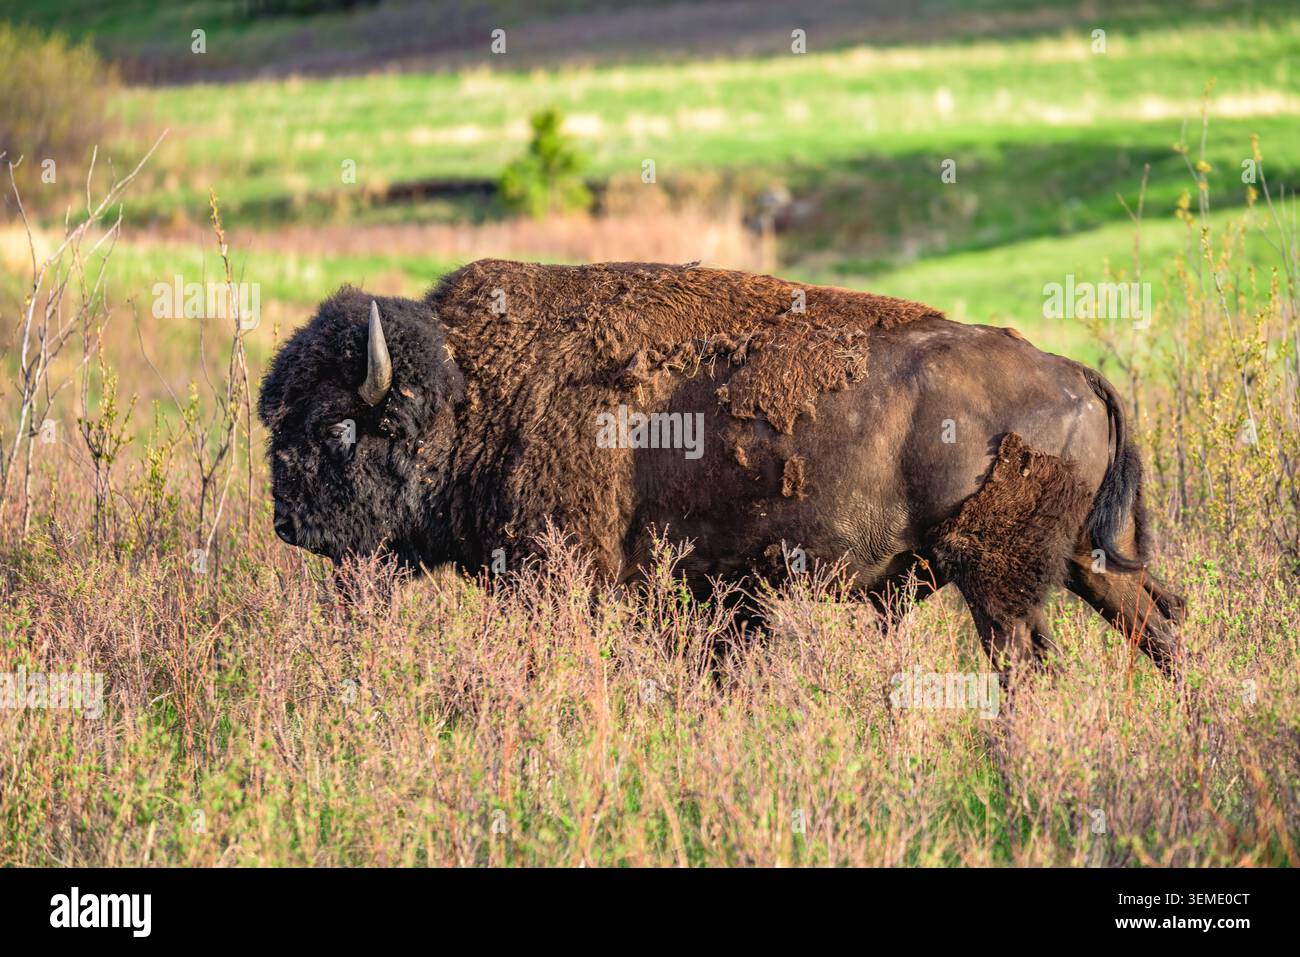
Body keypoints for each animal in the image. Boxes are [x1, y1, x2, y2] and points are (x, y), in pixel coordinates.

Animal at [258, 259, 1185, 673]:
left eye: (341, 428)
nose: (287, 523)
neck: (476, 389)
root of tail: (1077, 374)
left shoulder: (566, 579)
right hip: (1083, 560)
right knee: (1159, 623)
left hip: (1000, 580)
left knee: (1031, 658)